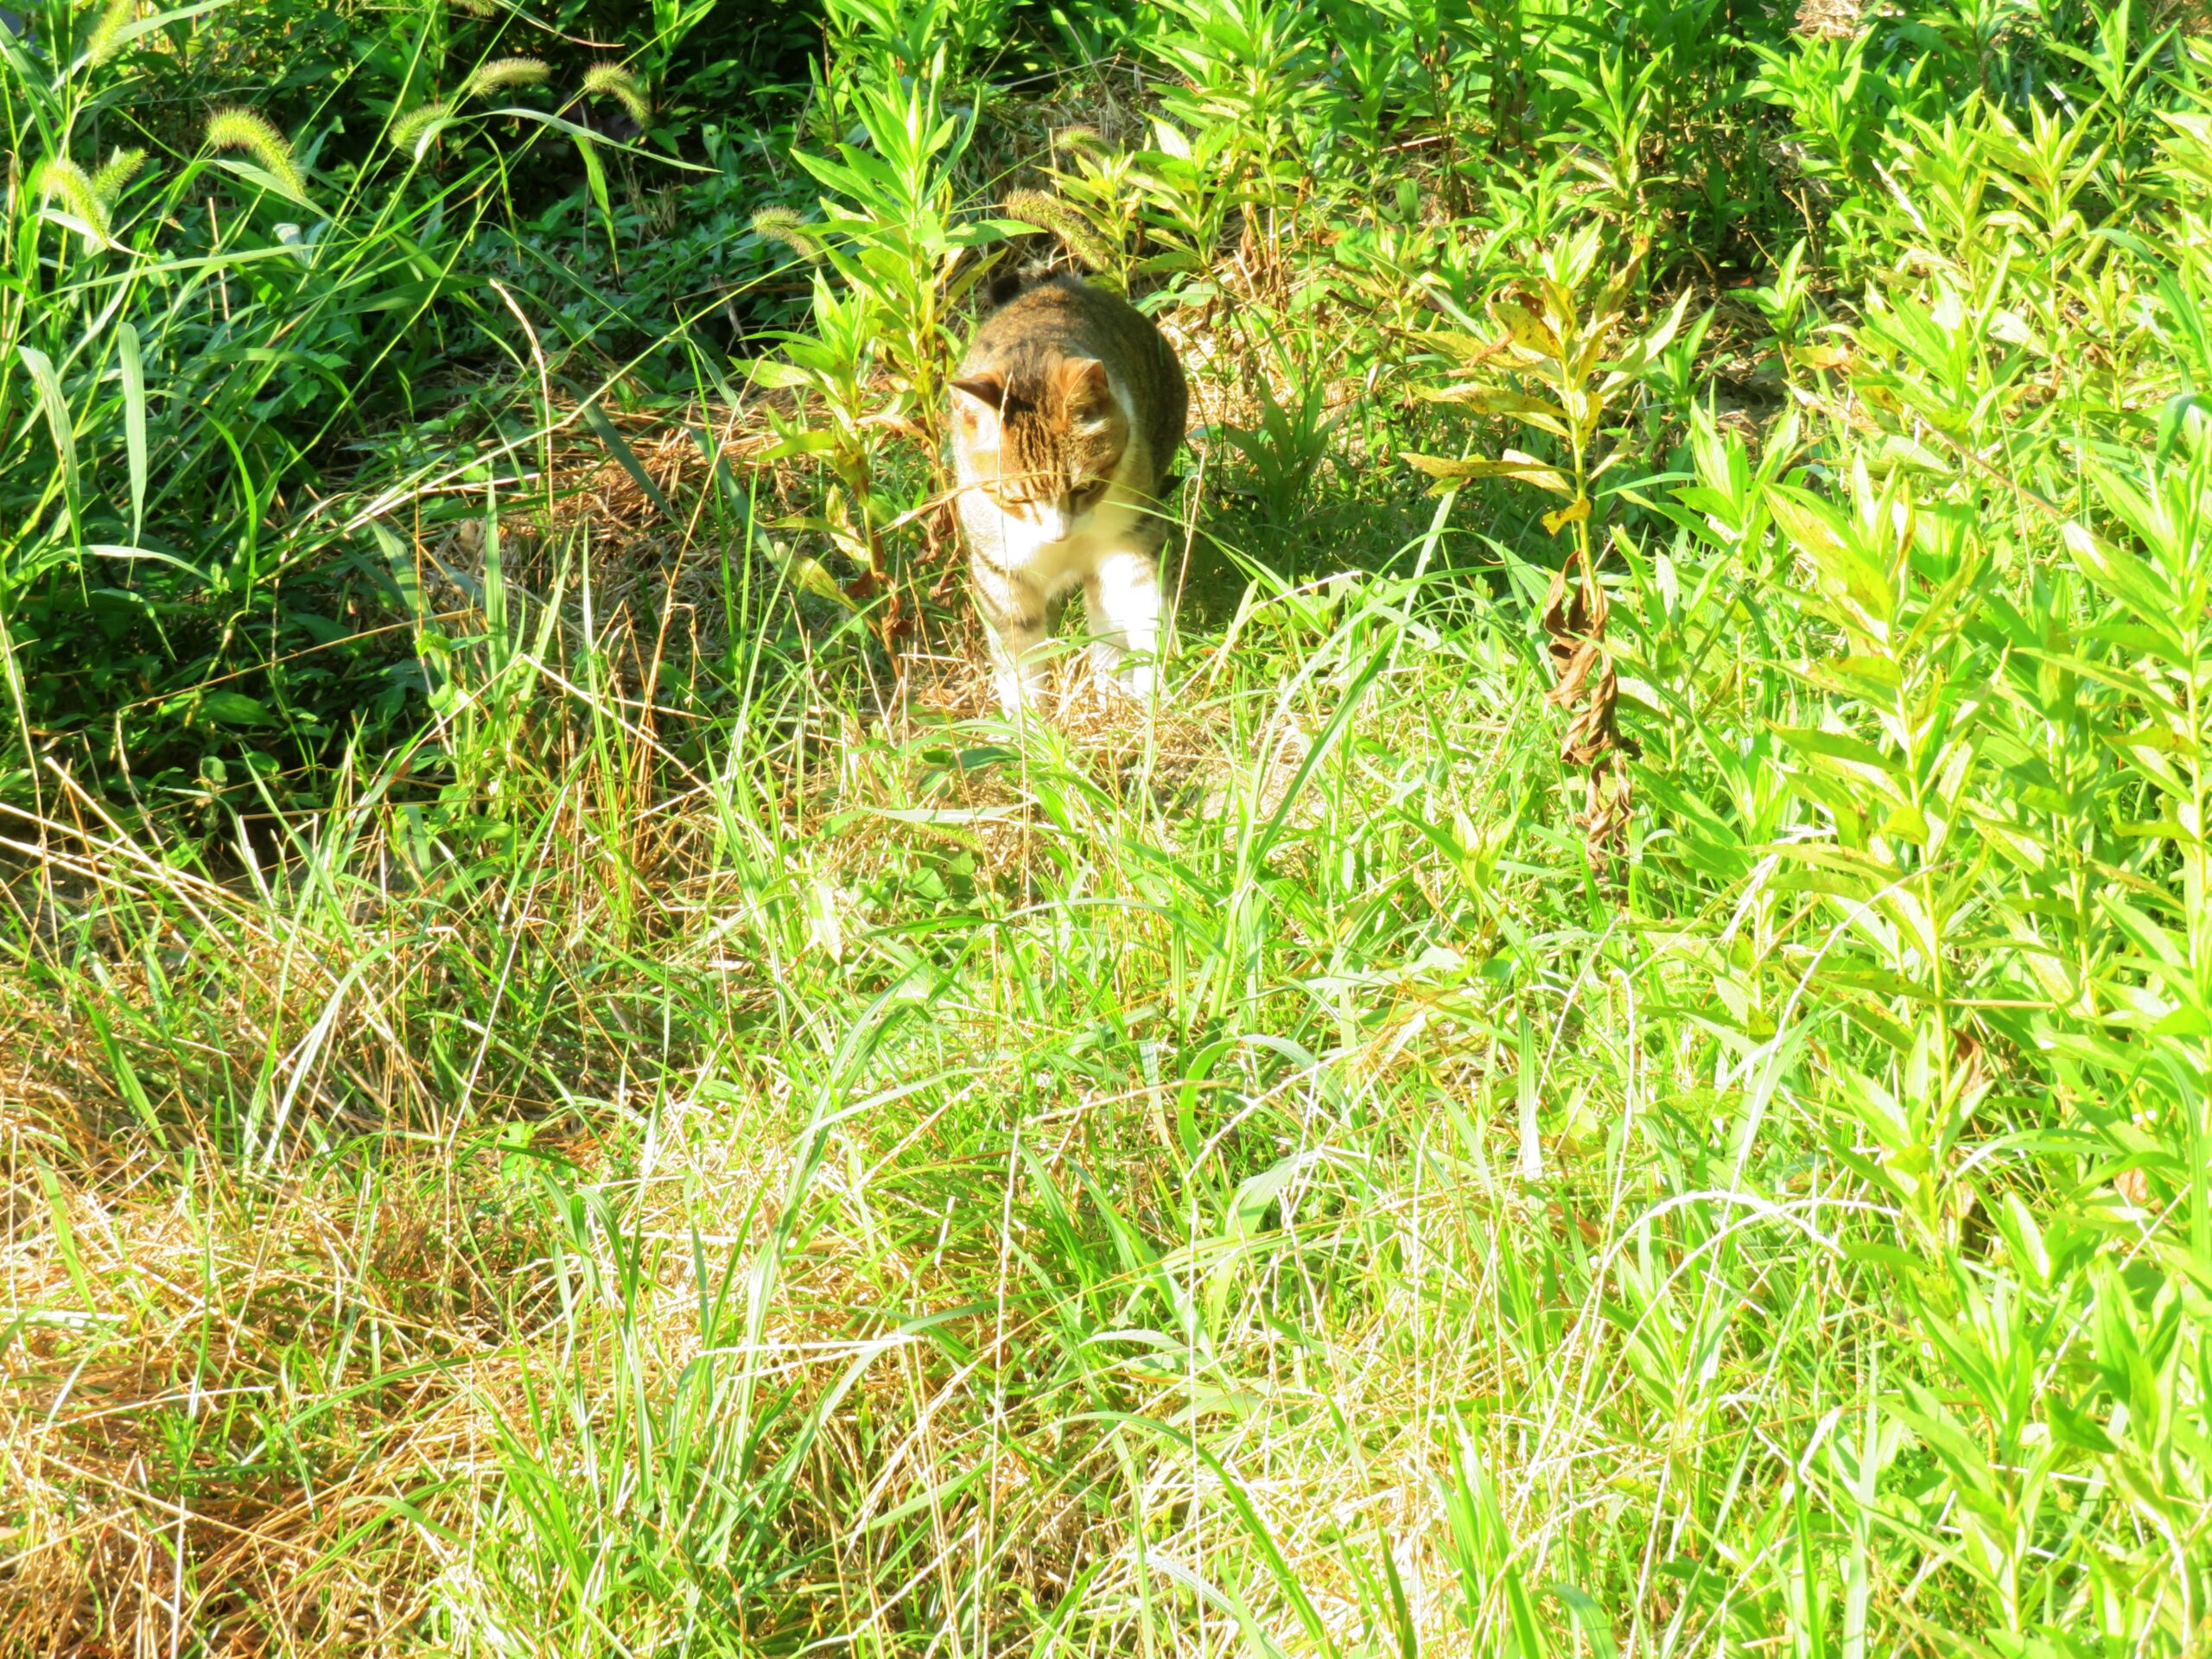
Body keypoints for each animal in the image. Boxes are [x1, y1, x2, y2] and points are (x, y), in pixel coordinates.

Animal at [950, 270, 1194, 712]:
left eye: (1086, 486)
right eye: (1017, 499)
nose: (1058, 534)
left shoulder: (1132, 539)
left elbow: (1145, 617)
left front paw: (1152, 695)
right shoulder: (1000, 568)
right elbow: (1019, 655)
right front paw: (1029, 723)